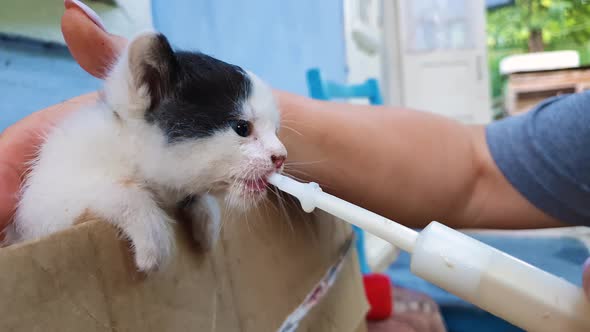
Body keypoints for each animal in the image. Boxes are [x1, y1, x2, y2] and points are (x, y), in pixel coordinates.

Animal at [5, 31, 288, 272]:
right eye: (242, 128)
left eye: (275, 130)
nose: (280, 157)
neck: (124, 148)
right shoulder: (39, 213)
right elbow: (113, 192)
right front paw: (151, 230)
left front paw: (205, 216)